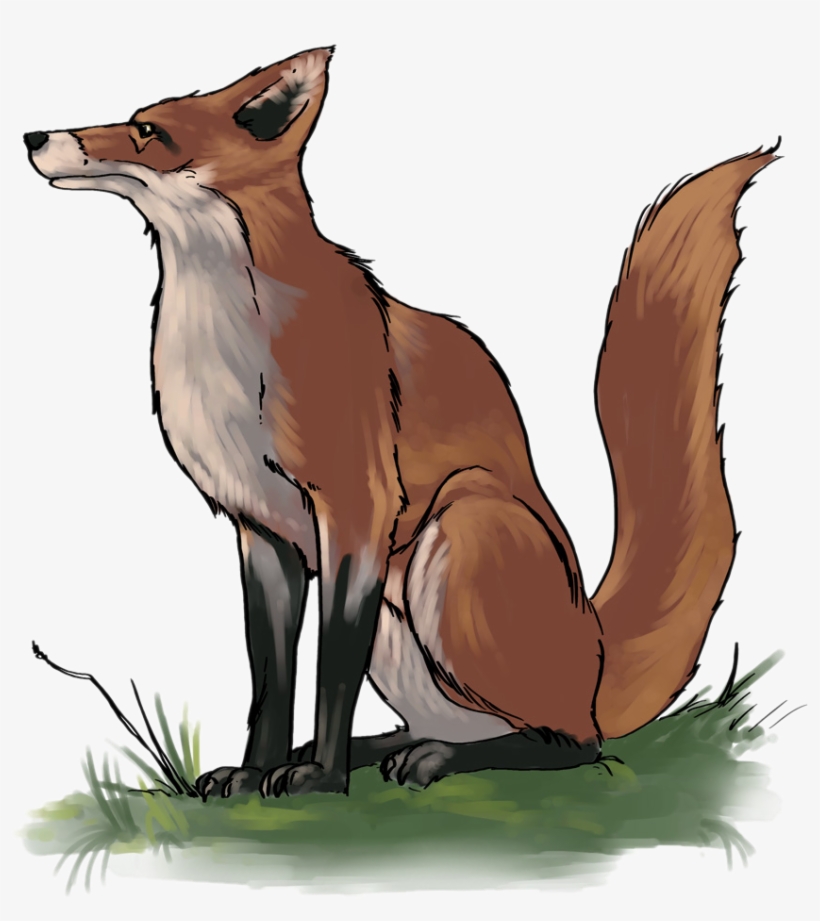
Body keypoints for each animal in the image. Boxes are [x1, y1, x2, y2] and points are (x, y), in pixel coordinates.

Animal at [25, 46, 777, 797]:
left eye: (147, 130)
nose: (32, 136)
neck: (227, 346)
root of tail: (593, 645)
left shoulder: (356, 508)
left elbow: (330, 668)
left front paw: (320, 779)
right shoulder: (261, 532)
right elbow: (271, 680)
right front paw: (255, 771)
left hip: (461, 526)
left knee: (574, 743)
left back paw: (433, 758)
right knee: (455, 723)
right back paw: (391, 746)